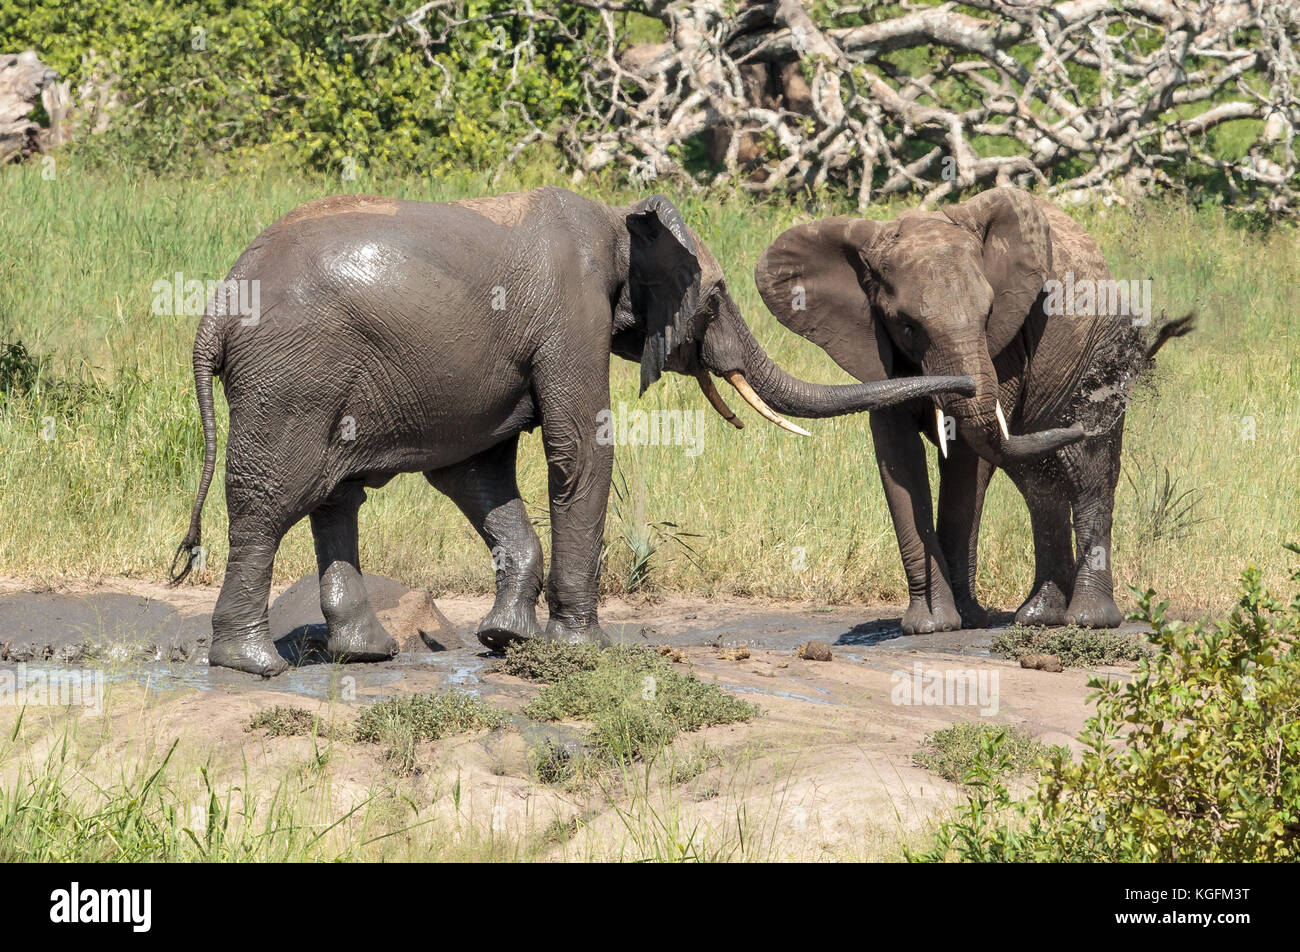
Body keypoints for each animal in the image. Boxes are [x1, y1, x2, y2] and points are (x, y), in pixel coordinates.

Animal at [167, 187, 972, 676]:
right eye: (715, 295)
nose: (962, 389)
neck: (620, 221)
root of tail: (213, 312)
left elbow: (478, 470)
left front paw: (508, 639)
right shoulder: (570, 312)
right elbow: (579, 445)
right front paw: (584, 647)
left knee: (336, 495)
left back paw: (367, 655)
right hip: (290, 376)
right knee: (272, 499)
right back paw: (253, 664)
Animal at [754, 184, 1190, 632]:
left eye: (989, 315)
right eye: (907, 326)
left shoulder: (1007, 344)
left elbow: (966, 454)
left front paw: (961, 619)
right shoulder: (875, 349)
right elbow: (898, 454)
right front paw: (928, 624)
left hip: (1101, 352)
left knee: (1090, 472)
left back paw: (1087, 620)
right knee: (1038, 481)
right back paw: (1038, 616)